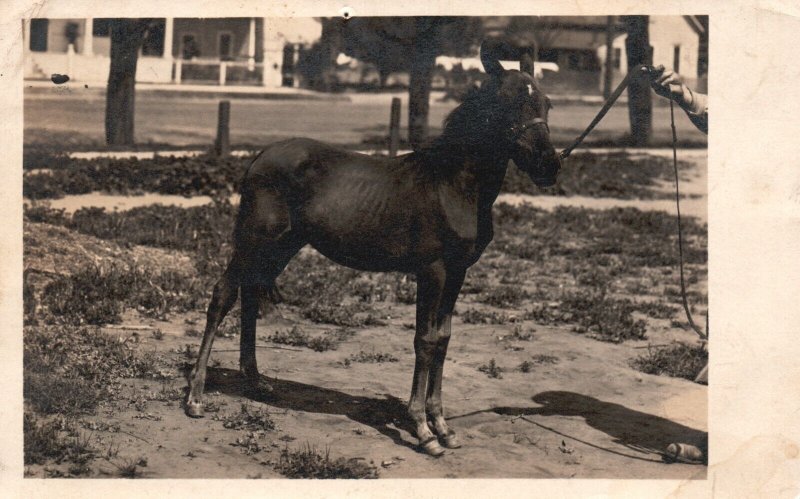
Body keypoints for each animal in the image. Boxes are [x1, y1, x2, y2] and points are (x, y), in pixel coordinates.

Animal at [188, 42, 564, 458]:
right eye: (508, 102)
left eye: (547, 103)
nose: (549, 165)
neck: (453, 183)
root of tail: (259, 156)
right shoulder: (432, 270)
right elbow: (425, 340)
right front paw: (423, 429)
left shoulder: (458, 272)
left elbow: (443, 339)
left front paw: (443, 425)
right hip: (254, 240)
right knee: (223, 295)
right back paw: (196, 397)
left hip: (282, 246)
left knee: (251, 295)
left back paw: (255, 382)